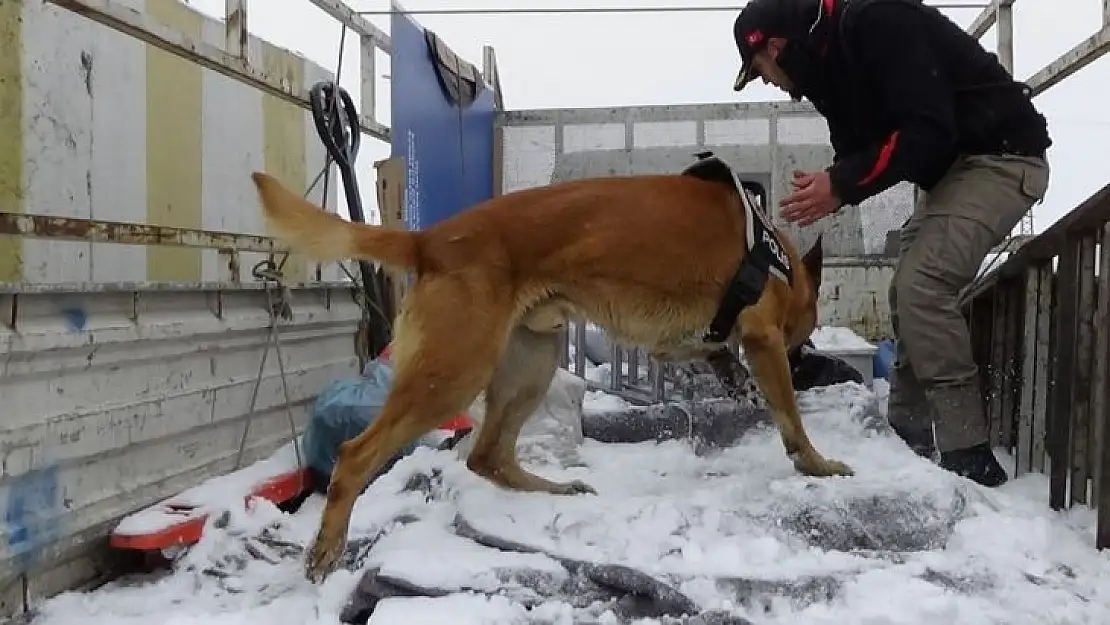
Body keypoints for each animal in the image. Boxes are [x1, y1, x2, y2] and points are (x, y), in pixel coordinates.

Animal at [249, 166, 848, 581]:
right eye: (803, 339)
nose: (812, 358)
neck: (776, 258)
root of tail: (428, 240)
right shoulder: (764, 340)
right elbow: (790, 413)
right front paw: (815, 463)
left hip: (532, 362)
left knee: (487, 456)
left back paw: (555, 489)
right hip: (454, 373)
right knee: (356, 456)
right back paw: (326, 550)